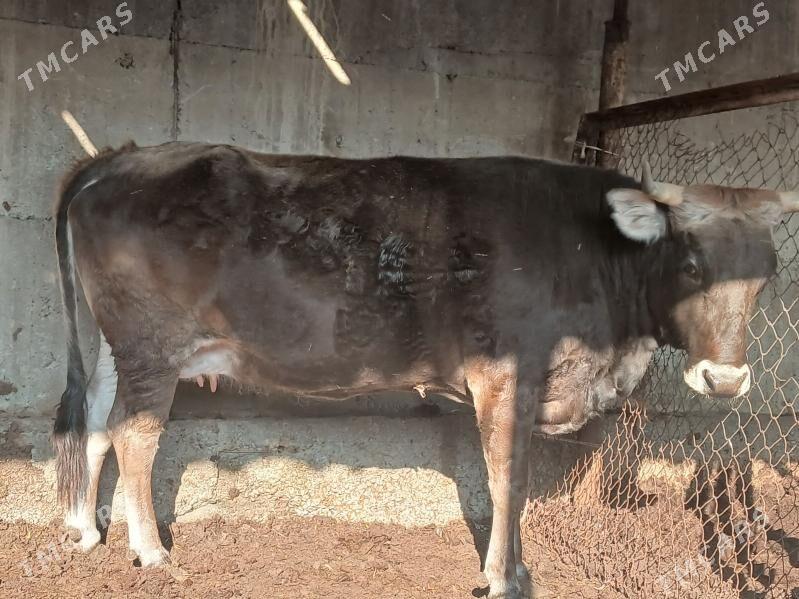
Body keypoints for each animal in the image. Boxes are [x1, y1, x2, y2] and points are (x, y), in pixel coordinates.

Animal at [51, 141, 798, 598]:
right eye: (692, 264)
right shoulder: (506, 370)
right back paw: (150, 551)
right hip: (151, 346)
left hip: (116, 345)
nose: (724, 380)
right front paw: (506, 576)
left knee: (94, 420)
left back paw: (86, 529)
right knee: (134, 434)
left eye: (767, 274)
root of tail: (117, 159)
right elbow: (507, 477)